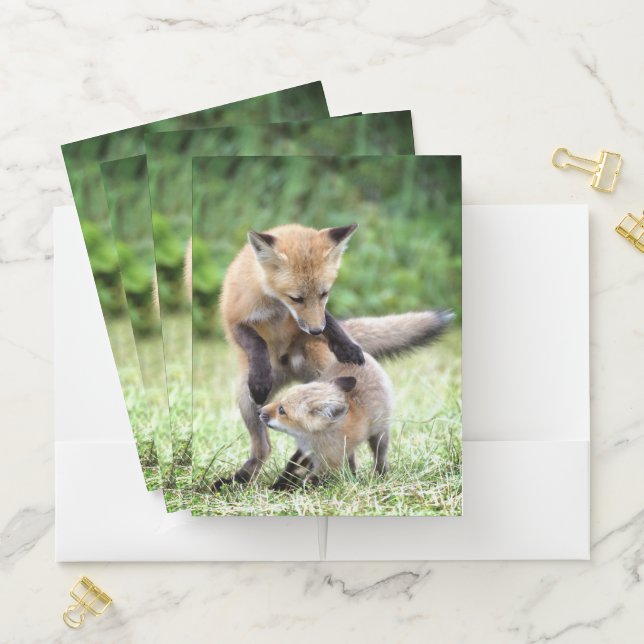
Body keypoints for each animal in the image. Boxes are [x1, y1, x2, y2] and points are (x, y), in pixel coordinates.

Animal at [259, 354, 394, 488]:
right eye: (279, 401)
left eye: (282, 410)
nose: (259, 411)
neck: (312, 438)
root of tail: (366, 356)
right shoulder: (306, 453)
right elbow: (291, 467)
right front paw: (278, 485)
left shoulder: (329, 464)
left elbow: (309, 483)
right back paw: (353, 475)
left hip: (380, 434)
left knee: (380, 455)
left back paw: (380, 473)